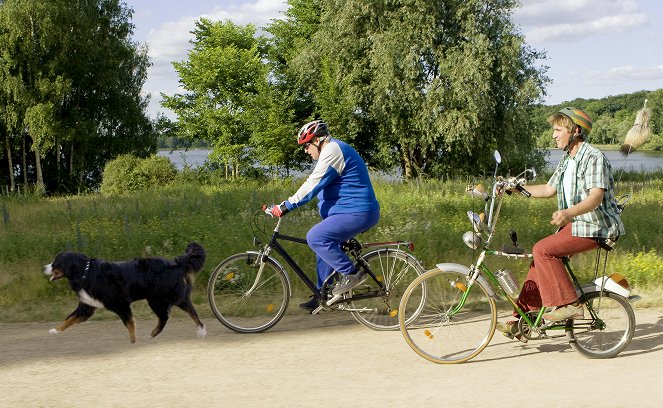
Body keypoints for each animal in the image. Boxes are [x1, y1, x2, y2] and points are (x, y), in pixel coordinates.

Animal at [43, 241, 206, 342]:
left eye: (56, 262)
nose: (44, 267)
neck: (85, 272)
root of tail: (174, 263)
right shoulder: (87, 306)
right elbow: (69, 318)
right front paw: (55, 330)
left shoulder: (120, 303)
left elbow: (129, 323)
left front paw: (133, 341)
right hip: (169, 298)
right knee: (187, 313)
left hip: (159, 299)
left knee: (169, 316)